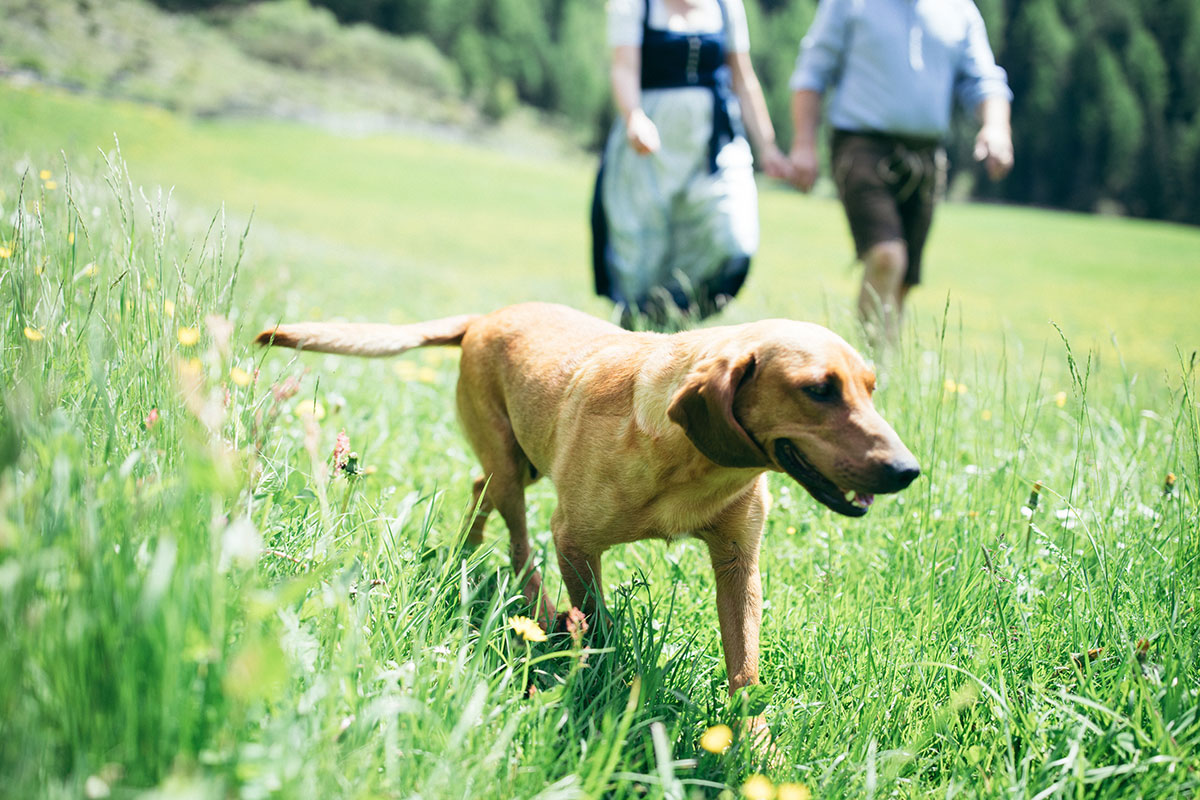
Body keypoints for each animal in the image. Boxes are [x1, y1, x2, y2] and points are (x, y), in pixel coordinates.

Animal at [260, 303, 916, 705]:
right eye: (818, 390)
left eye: (871, 388)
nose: (907, 470)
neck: (692, 462)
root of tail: (484, 317)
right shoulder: (574, 538)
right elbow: (596, 616)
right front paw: (605, 674)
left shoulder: (737, 562)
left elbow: (744, 666)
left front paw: (754, 748)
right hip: (513, 465)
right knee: (518, 540)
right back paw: (537, 606)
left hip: (519, 462)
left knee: (478, 493)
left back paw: (467, 554)